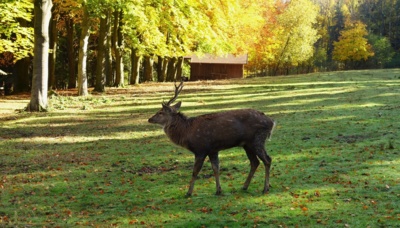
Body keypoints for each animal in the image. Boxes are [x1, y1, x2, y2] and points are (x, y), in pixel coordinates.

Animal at [148, 80, 276, 196]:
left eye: (160, 112)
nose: (149, 119)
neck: (187, 132)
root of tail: (271, 122)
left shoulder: (201, 149)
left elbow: (195, 171)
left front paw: (188, 193)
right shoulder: (213, 150)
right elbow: (216, 168)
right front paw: (218, 190)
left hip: (258, 139)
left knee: (267, 159)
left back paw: (265, 188)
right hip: (247, 144)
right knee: (255, 162)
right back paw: (244, 186)